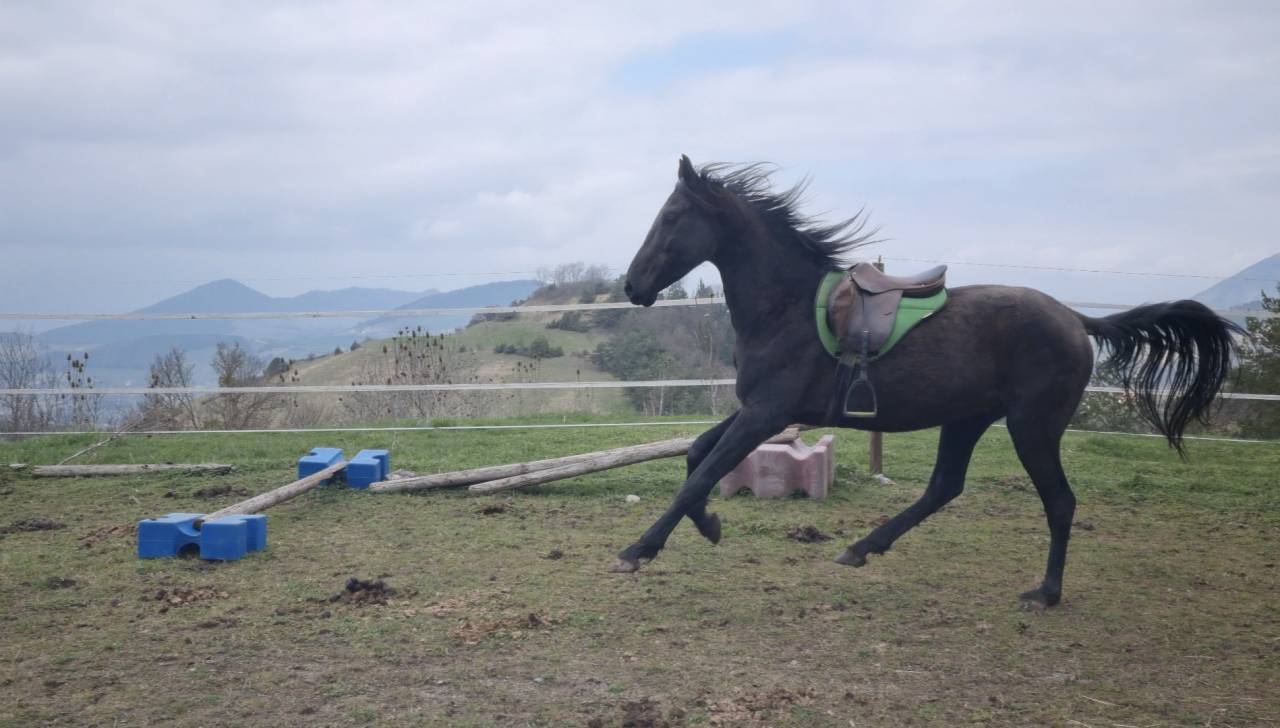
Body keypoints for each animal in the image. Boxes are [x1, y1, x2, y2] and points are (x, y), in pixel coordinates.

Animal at [613, 155, 1239, 607]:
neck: (786, 305)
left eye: (671, 217)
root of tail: (1075, 319)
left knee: (1059, 502)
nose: (632, 285)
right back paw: (862, 548)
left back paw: (1045, 593)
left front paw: (639, 548)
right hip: (968, 419)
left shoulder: (767, 412)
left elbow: (699, 474)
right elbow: (697, 456)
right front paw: (711, 526)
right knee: (944, 487)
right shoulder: (760, 410)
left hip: (1031, 427)